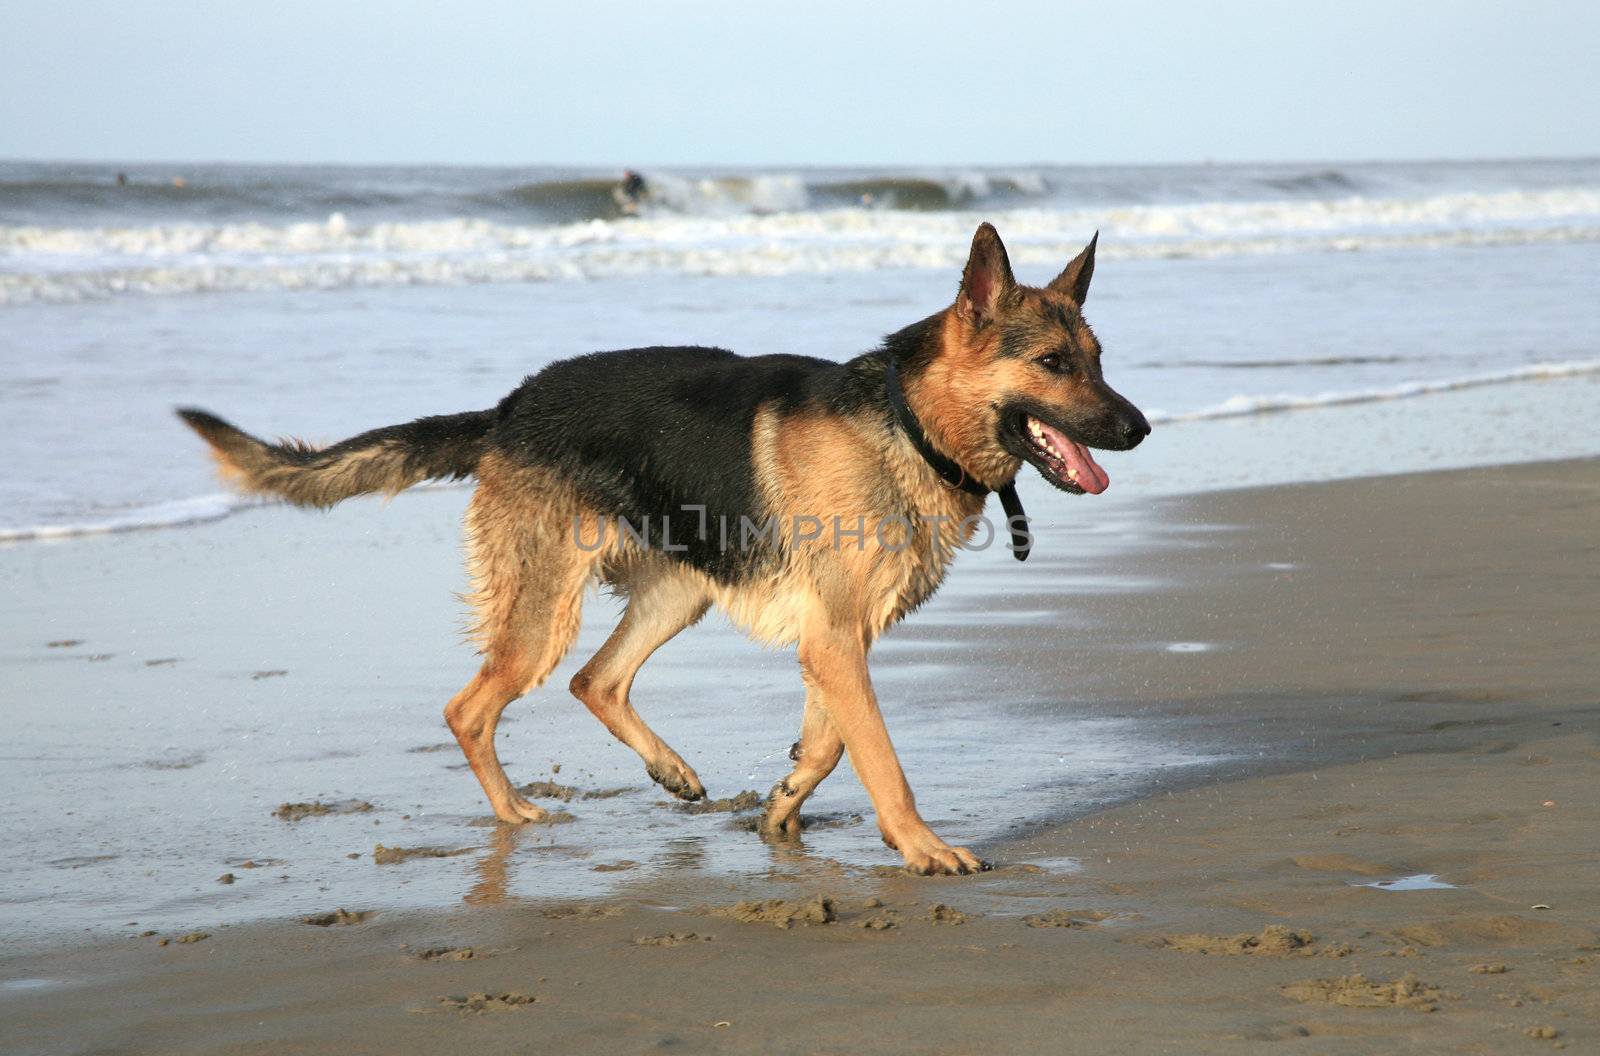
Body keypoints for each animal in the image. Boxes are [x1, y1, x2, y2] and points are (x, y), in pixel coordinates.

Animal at [181, 222, 1145, 876]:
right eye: (1053, 363)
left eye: (1098, 358)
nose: (1138, 428)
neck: (909, 423)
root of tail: (507, 410)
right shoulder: (836, 641)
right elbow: (880, 757)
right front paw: (920, 845)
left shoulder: (835, 640)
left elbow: (830, 745)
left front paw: (784, 809)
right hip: (545, 610)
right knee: (472, 706)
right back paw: (515, 811)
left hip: (678, 593)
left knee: (595, 680)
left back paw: (670, 771)